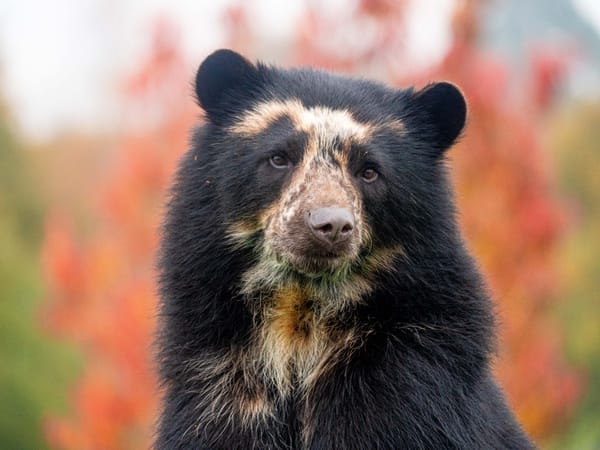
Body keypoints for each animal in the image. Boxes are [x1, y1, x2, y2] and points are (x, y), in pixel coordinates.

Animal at [156, 50, 536, 450]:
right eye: (279, 158)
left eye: (370, 171)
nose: (331, 226)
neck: (300, 318)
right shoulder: (221, 386)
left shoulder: (408, 382)